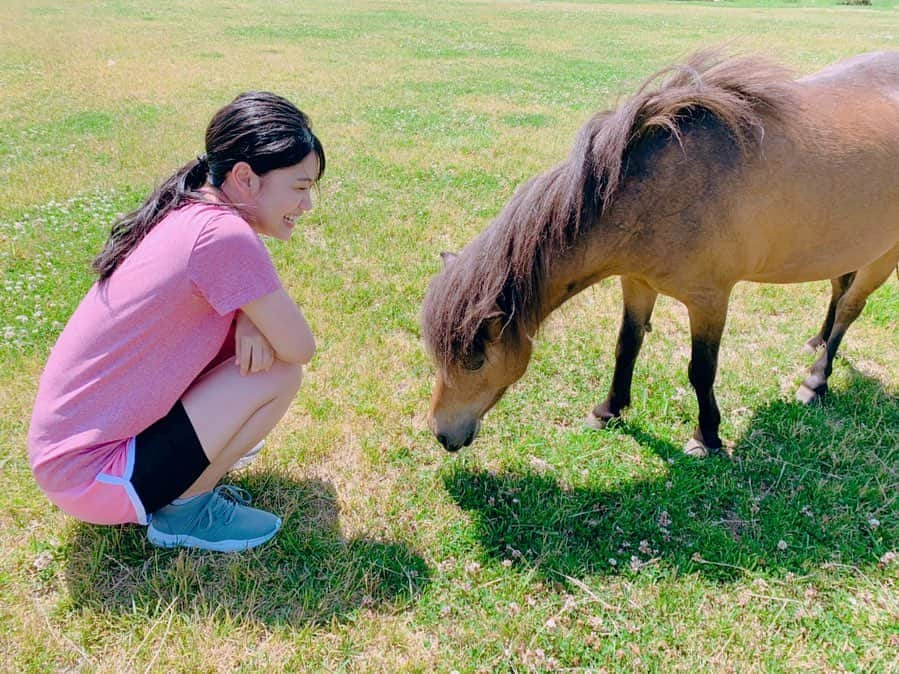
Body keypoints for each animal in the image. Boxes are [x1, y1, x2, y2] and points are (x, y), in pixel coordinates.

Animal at [422, 50, 899, 454]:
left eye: (475, 360)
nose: (443, 434)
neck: (660, 190)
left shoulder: (709, 301)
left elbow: (701, 370)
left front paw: (707, 436)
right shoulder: (636, 281)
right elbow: (626, 345)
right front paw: (608, 410)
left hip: (883, 254)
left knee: (851, 307)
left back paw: (816, 380)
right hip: (847, 240)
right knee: (838, 288)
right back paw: (817, 340)